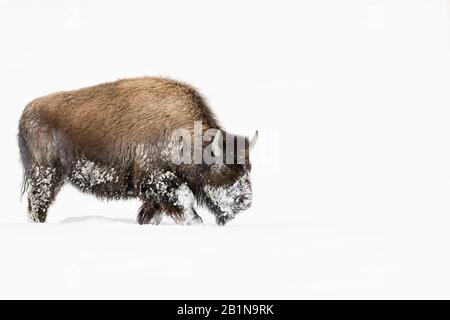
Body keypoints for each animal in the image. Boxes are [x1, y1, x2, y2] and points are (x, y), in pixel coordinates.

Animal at [17, 77, 256, 225]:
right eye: (223, 167)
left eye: (248, 168)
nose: (244, 201)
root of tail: (26, 112)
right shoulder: (158, 179)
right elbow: (183, 201)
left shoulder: (154, 192)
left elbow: (152, 212)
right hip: (46, 174)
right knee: (38, 203)